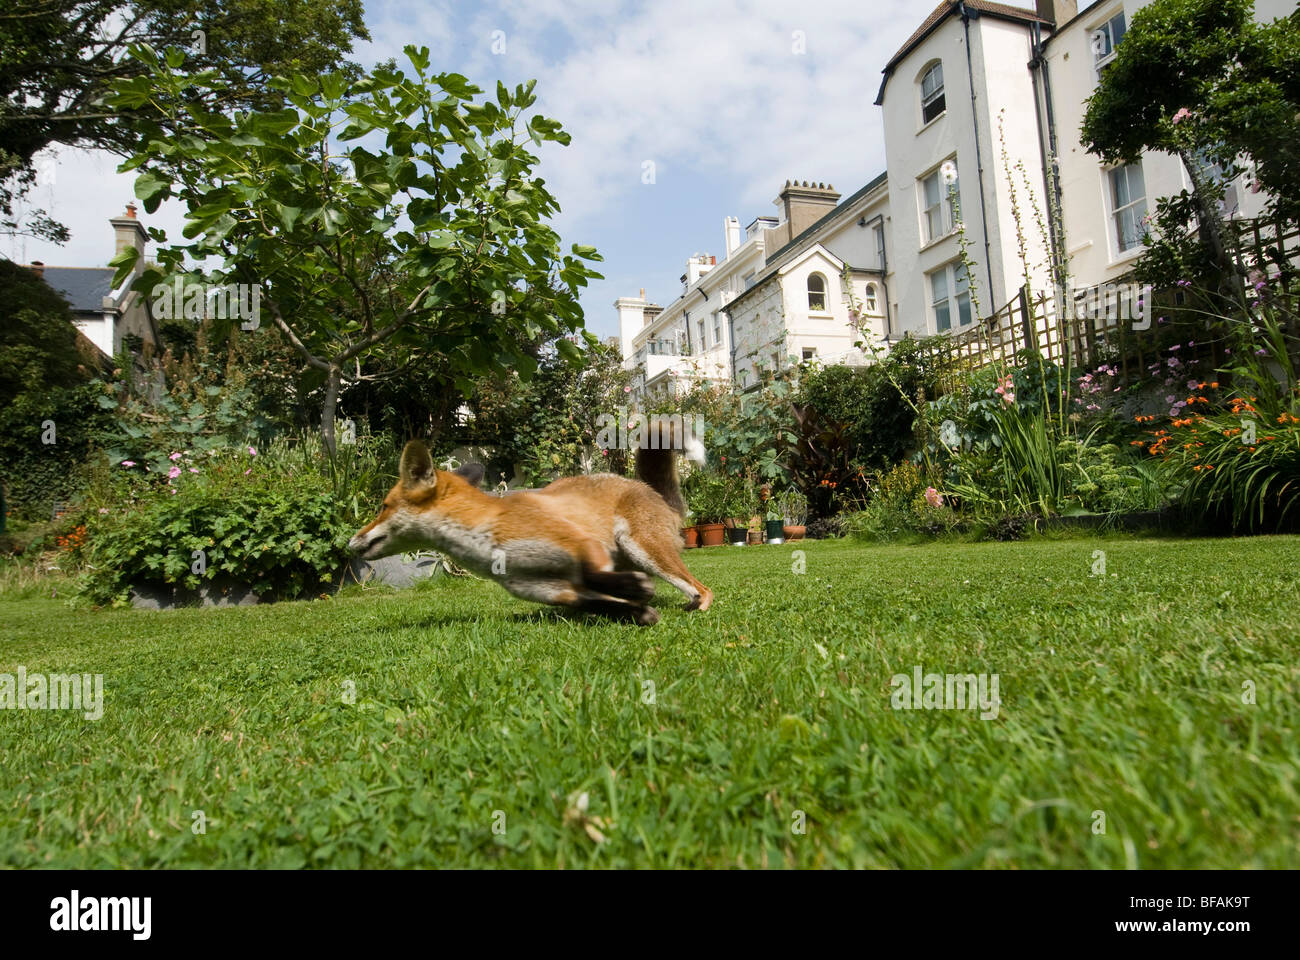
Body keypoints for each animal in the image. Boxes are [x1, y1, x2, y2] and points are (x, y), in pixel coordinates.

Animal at [345, 437, 712, 624]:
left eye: (382, 506)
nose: (350, 542)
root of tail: (648, 489)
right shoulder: (546, 590)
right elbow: (597, 601)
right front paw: (637, 611)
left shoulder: (581, 543)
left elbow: (593, 575)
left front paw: (637, 592)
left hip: (640, 547)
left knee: (703, 588)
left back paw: (695, 603)